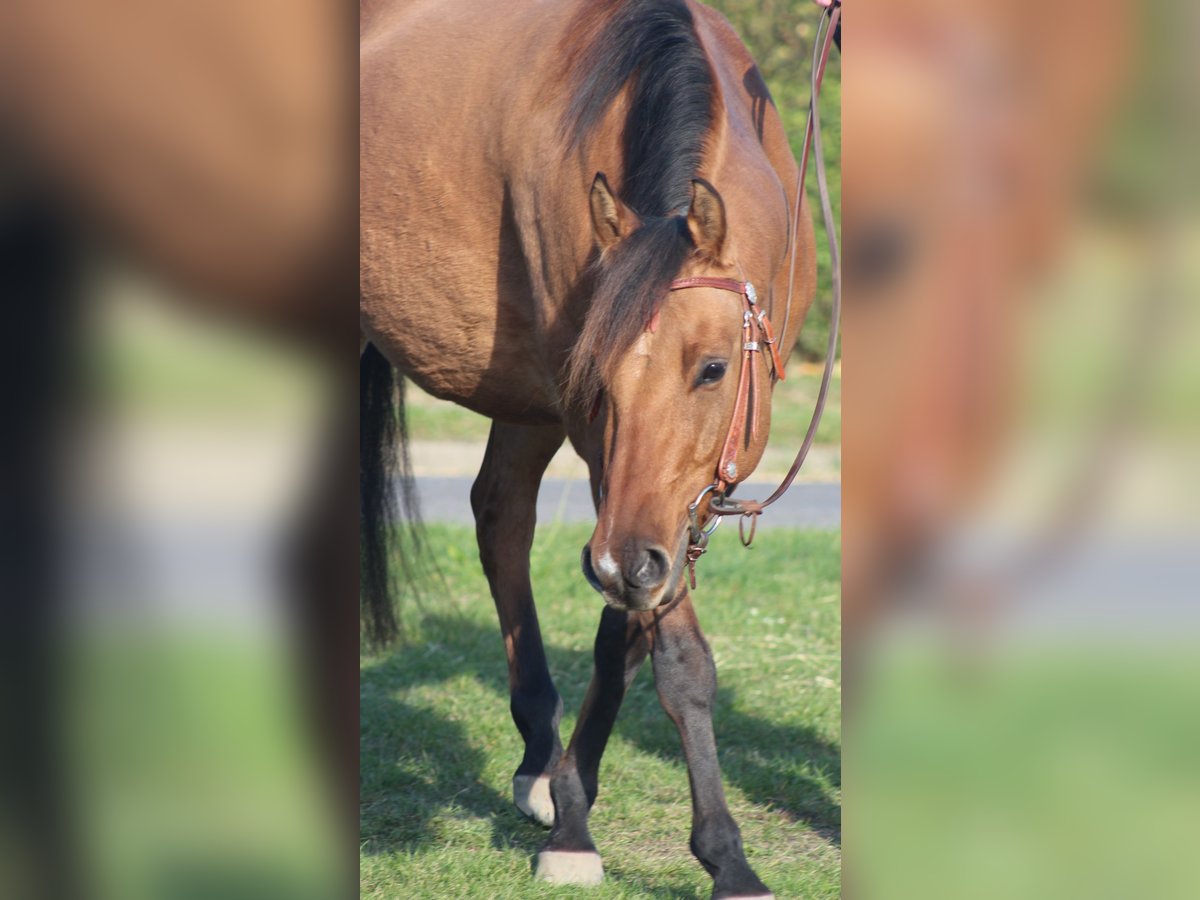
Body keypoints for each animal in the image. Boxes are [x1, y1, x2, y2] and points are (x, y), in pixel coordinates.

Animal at [360, 0, 820, 897]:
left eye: (714, 368)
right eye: (598, 373)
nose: (623, 559)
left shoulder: (684, 494)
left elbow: (632, 631)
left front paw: (576, 799)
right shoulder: (601, 445)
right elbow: (675, 652)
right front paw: (718, 852)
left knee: (501, 516)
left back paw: (540, 752)